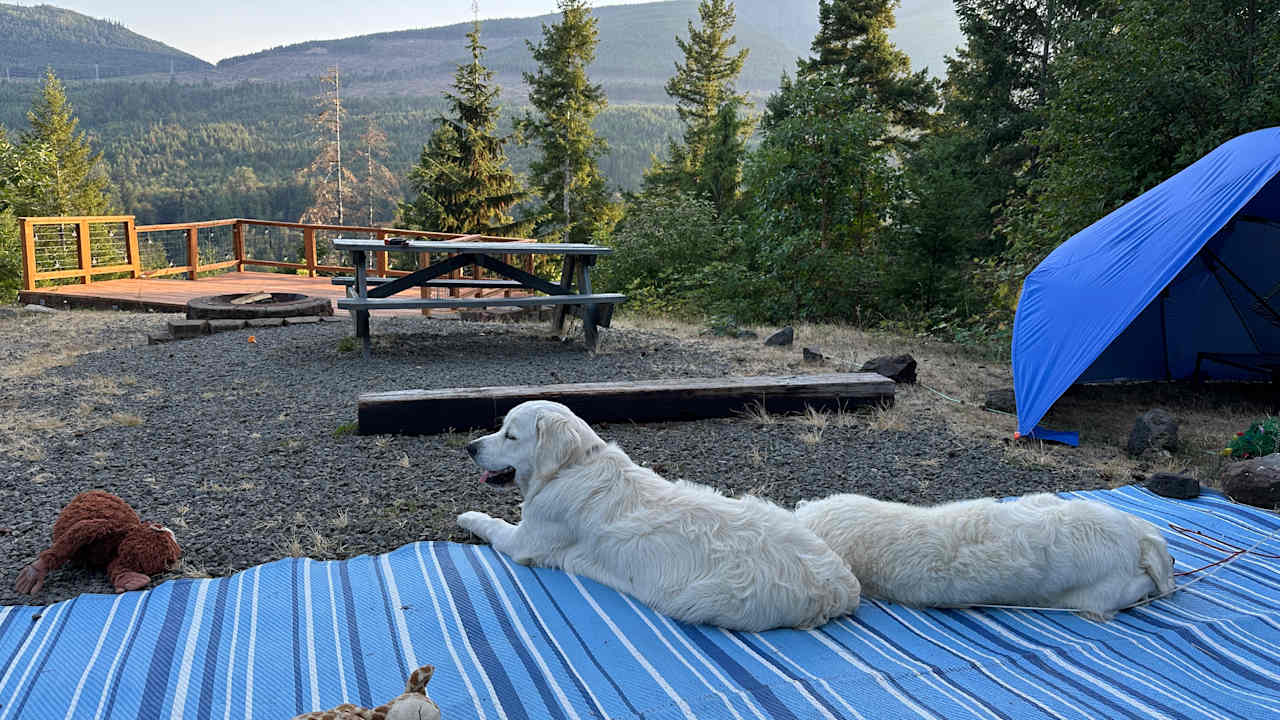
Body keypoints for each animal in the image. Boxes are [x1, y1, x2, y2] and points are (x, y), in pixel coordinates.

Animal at [455, 397, 865, 627]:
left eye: (510, 435)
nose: (470, 447)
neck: (572, 467)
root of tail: (840, 584)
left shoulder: (526, 540)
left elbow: (493, 524)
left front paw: (469, 516)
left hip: (709, 599)